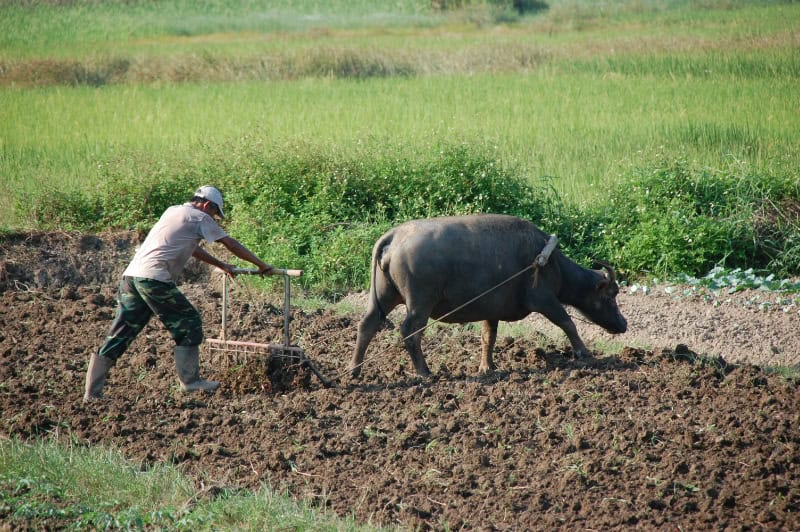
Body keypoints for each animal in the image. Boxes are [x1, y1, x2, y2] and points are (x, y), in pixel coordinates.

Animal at [348, 213, 624, 378]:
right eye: (611, 295)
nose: (623, 324)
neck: (547, 260)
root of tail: (394, 237)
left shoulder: (492, 311)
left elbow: (488, 338)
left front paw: (486, 367)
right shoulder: (544, 300)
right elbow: (567, 322)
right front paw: (583, 353)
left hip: (384, 294)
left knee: (368, 324)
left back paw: (354, 369)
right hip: (419, 302)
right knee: (409, 331)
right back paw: (425, 372)